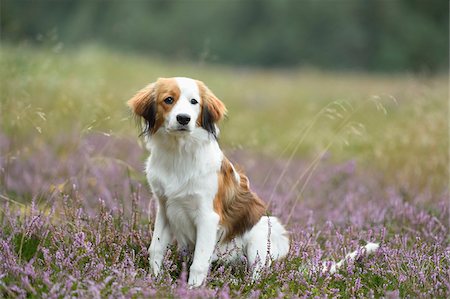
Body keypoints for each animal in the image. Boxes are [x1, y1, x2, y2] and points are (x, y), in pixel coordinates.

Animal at [127, 77, 288, 288]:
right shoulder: (164, 209)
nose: (183, 118)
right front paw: (154, 280)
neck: (179, 154)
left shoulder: (207, 216)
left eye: (194, 102)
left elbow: (199, 263)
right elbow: (156, 248)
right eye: (168, 99)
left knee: (256, 272)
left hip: (262, 234)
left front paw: (192, 289)